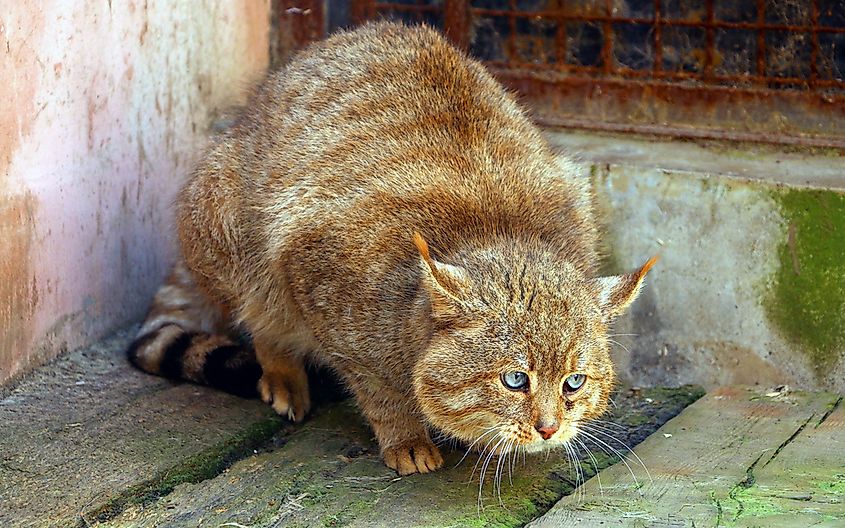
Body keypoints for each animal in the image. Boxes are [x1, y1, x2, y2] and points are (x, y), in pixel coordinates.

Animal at [127, 20, 652, 476]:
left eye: (574, 382)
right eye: (515, 379)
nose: (549, 428)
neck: (497, 229)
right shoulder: (311, 269)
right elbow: (375, 385)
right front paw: (406, 437)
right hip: (222, 222)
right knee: (259, 313)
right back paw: (281, 372)